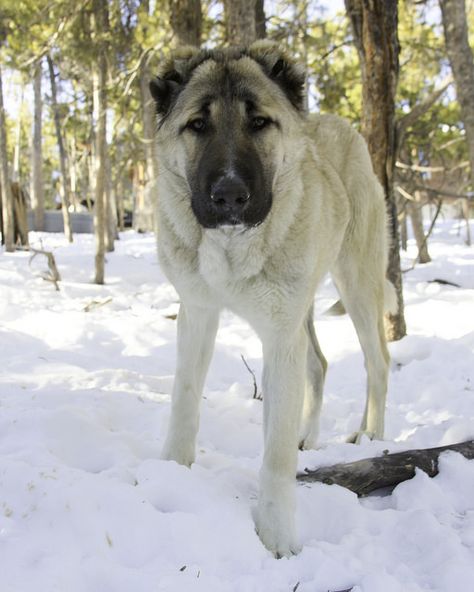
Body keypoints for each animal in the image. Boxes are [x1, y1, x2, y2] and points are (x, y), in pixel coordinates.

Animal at [149, 40, 392, 556]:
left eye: (259, 122)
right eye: (197, 125)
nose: (229, 195)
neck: (232, 247)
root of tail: (337, 122)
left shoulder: (280, 336)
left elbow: (275, 454)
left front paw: (276, 537)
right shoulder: (199, 313)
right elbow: (184, 401)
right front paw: (173, 473)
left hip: (356, 283)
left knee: (377, 363)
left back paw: (372, 438)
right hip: (305, 310)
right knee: (319, 364)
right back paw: (310, 437)